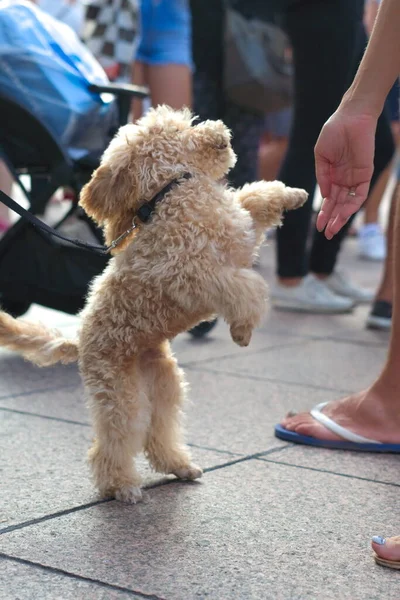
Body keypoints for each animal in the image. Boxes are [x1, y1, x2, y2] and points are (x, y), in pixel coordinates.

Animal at [0, 106, 308, 502]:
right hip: (120, 394)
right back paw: (122, 486)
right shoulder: (198, 275)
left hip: (163, 384)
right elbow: (249, 290)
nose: (221, 129)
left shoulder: (240, 232)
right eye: (178, 129)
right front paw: (242, 330)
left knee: (158, 432)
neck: (170, 192)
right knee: (111, 445)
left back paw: (179, 466)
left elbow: (256, 198)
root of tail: (79, 341)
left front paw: (295, 195)